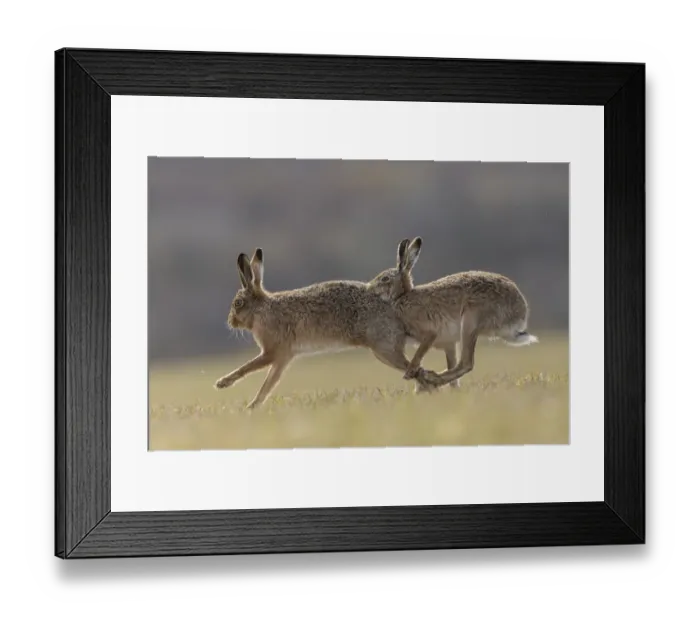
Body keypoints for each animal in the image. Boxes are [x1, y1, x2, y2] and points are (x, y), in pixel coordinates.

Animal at [214, 248, 433, 408]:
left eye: (238, 303)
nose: (230, 322)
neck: (261, 309)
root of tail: (395, 305)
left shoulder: (273, 351)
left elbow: (248, 368)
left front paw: (223, 384)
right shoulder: (284, 357)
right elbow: (268, 385)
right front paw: (253, 407)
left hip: (383, 348)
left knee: (417, 369)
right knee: (418, 370)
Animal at [367, 237, 538, 390]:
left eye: (385, 278)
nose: (370, 288)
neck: (402, 296)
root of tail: (520, 314)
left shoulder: (429, 332)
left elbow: (419, 354)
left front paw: (409, 373)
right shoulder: (448, 343)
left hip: (470, 320)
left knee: (466, 363)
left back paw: (433, 378)